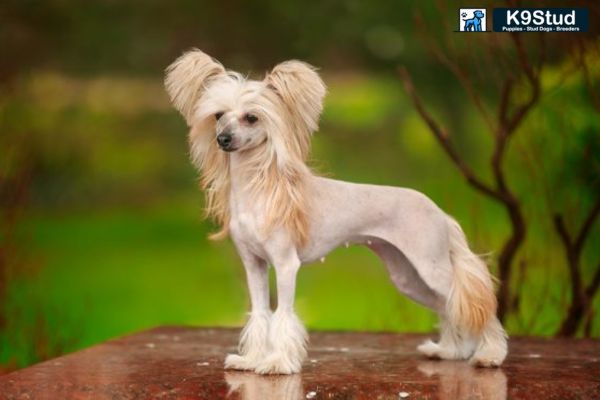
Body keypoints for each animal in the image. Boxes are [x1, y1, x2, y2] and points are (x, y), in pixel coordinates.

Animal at [163, 50, 506, 376]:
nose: (222, 139)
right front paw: (252, 360)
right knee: (448, 307)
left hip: (432, 268)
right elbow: (260, 314)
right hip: (408, 275)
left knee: (475, 306)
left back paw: (489, 354)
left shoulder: (286, 265)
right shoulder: (254, 265)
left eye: (251, 118)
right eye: (218, 115)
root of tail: (441, 213)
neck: (258, 190)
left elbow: (283, 315)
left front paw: (278, 363)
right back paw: (449, 351)